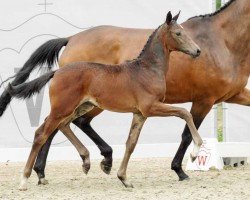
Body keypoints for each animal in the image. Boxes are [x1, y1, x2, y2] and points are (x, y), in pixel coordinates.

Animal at [0, 0, 250, 183]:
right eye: (178, 34)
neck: (223, 41)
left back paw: (84, 163)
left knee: (63, 125)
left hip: (84, 104)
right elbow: (186, 130)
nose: (197, 51)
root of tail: (70, 39)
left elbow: (133, 141)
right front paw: (183, 166)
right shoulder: (200, 100)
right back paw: (44, 172)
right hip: (75, 105)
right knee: (52, 128)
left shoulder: (232, 94)